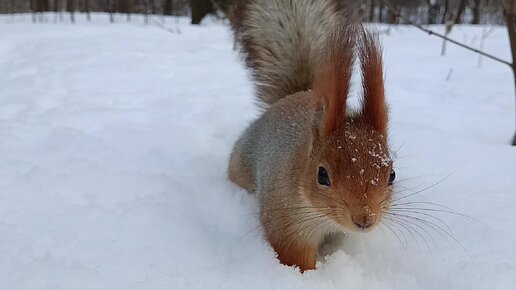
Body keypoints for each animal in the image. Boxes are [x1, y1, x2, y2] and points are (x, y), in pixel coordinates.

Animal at [228, 0, 394, 272]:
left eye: (392, 175)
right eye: (322, 175)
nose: (364, 220)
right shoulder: (286, 221)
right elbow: (294, 256)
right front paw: (309, 276)